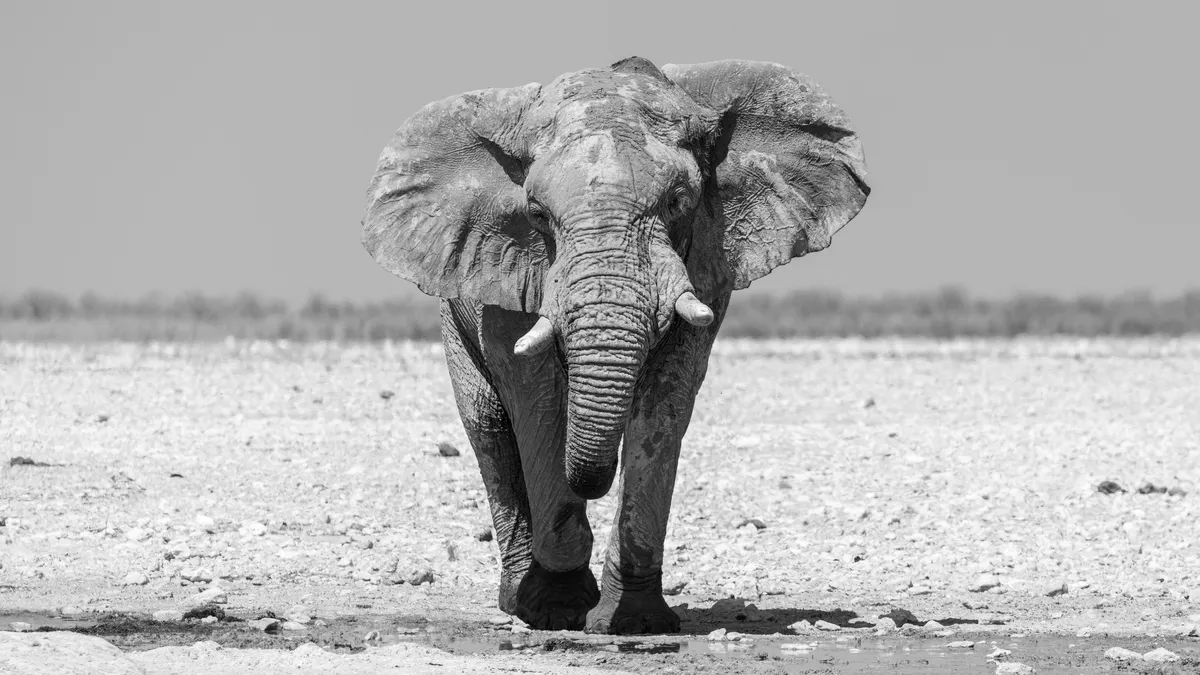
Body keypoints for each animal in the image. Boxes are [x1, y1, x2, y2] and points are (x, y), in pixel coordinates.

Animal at [361, 56, 869, 634]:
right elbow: (535, 397)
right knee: (488, 428)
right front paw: (558, 609)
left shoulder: (707, 261)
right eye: (536, 215)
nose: (592, 484)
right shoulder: (509, 269)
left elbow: (666, 400)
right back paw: (518, 600)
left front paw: (634, 622)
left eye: (677, 203)